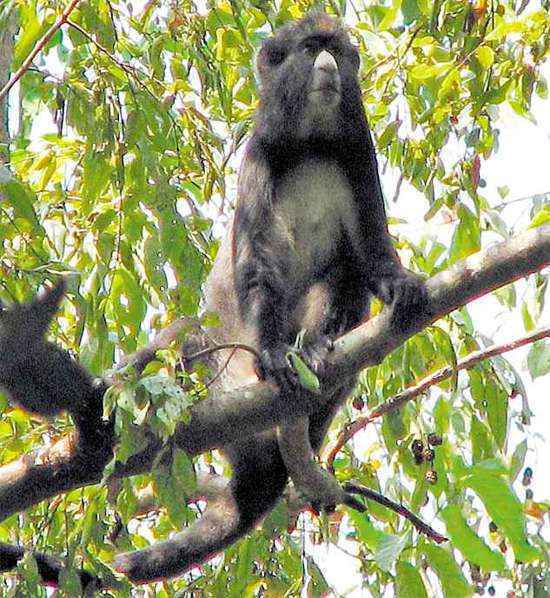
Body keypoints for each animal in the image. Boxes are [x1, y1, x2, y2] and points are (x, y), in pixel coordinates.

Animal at [0, 11, 436, 588]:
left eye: (338, 52)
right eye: (311, 49)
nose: (327, 66)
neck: (311, 142)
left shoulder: (357, 147)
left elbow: (370, 256)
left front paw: (397, 285)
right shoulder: (261, 151)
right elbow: (256, 264)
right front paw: (273, 351)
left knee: (342, 279)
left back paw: (316, 350)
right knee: (177, 339)